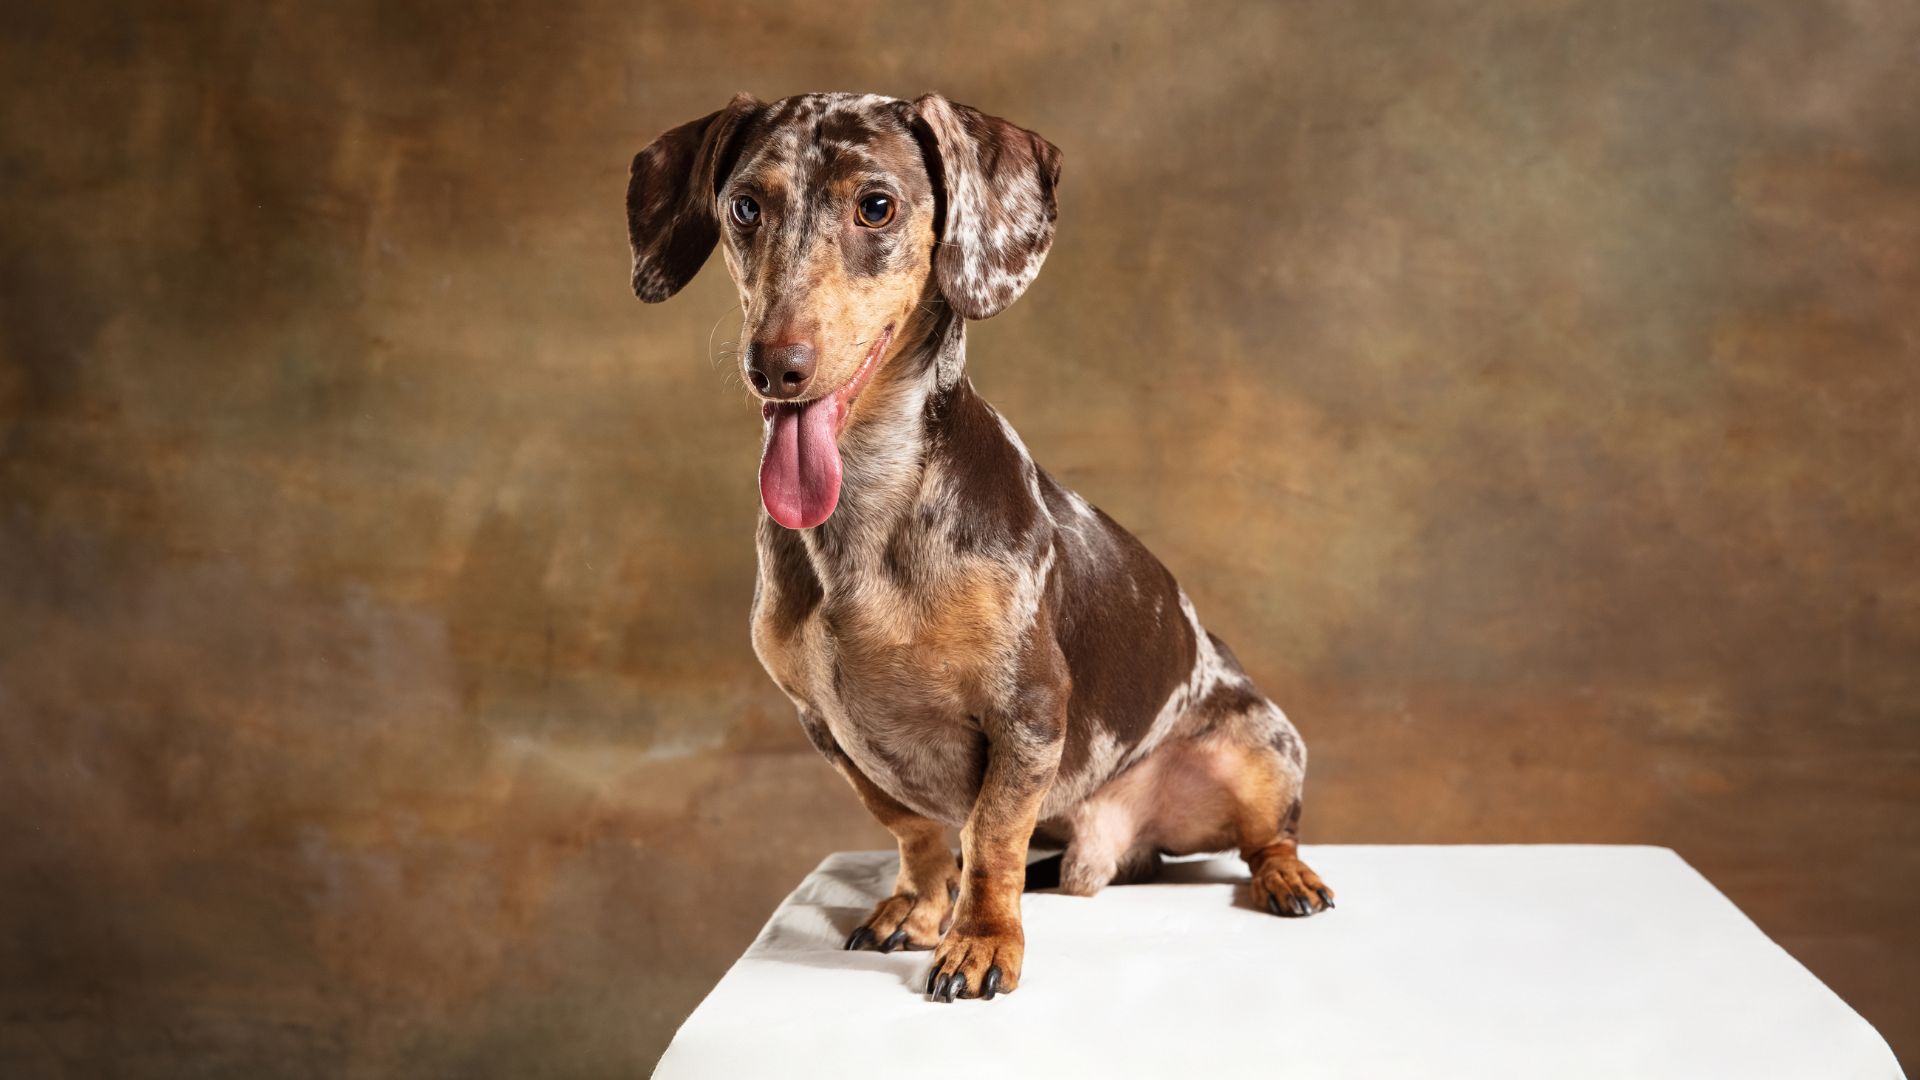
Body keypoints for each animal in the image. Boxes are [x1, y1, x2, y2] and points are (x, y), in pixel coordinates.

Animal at [622, 90, 1328, 999]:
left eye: (876, 206)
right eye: (744, 206)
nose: (774, 365)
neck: (868, 510)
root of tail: (1116, 849)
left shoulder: (1026, 712)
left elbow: (991, 839)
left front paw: (983, 939)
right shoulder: (829, 728)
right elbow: (918, 830)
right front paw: (923, 910)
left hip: (1260, 749)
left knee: (1265, 836)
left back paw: (1289, 877)